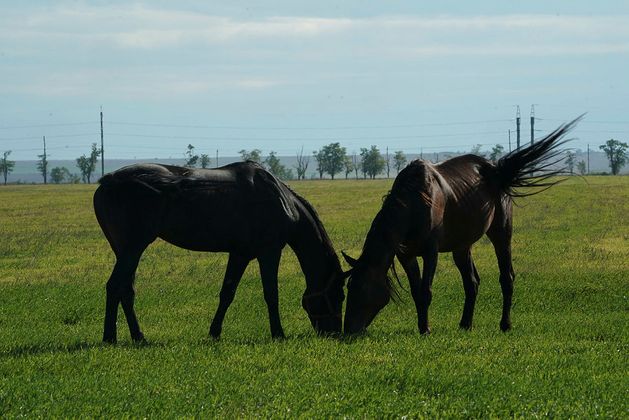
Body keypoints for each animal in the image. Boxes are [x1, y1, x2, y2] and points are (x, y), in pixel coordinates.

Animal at [93, 160, 344, 342]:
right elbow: (271, 294)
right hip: (133, 247)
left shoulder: (240, 254)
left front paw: (214, 332)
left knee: (126, 290)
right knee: (115, 286)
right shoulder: (269, 253)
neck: (282, 200)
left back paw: (137, 336)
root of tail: (107, 182)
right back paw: (110, 337)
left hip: (125, 250)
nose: (334, 333)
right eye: (339, 295)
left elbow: (227, 293)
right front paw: (278, 334)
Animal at [344, 118, 580, 334]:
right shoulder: (406, 255)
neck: (414, 203)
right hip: (462, 246)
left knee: (506, 277)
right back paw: (466, 324)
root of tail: (496, 171)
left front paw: (426, 330)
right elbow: (416, 291)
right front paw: (422, 327)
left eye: (362, 287)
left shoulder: (431, 251)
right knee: (472, 282)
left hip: (501, 234)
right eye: (349, 286)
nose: (349, 330)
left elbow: (426, 291)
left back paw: (505, 324)